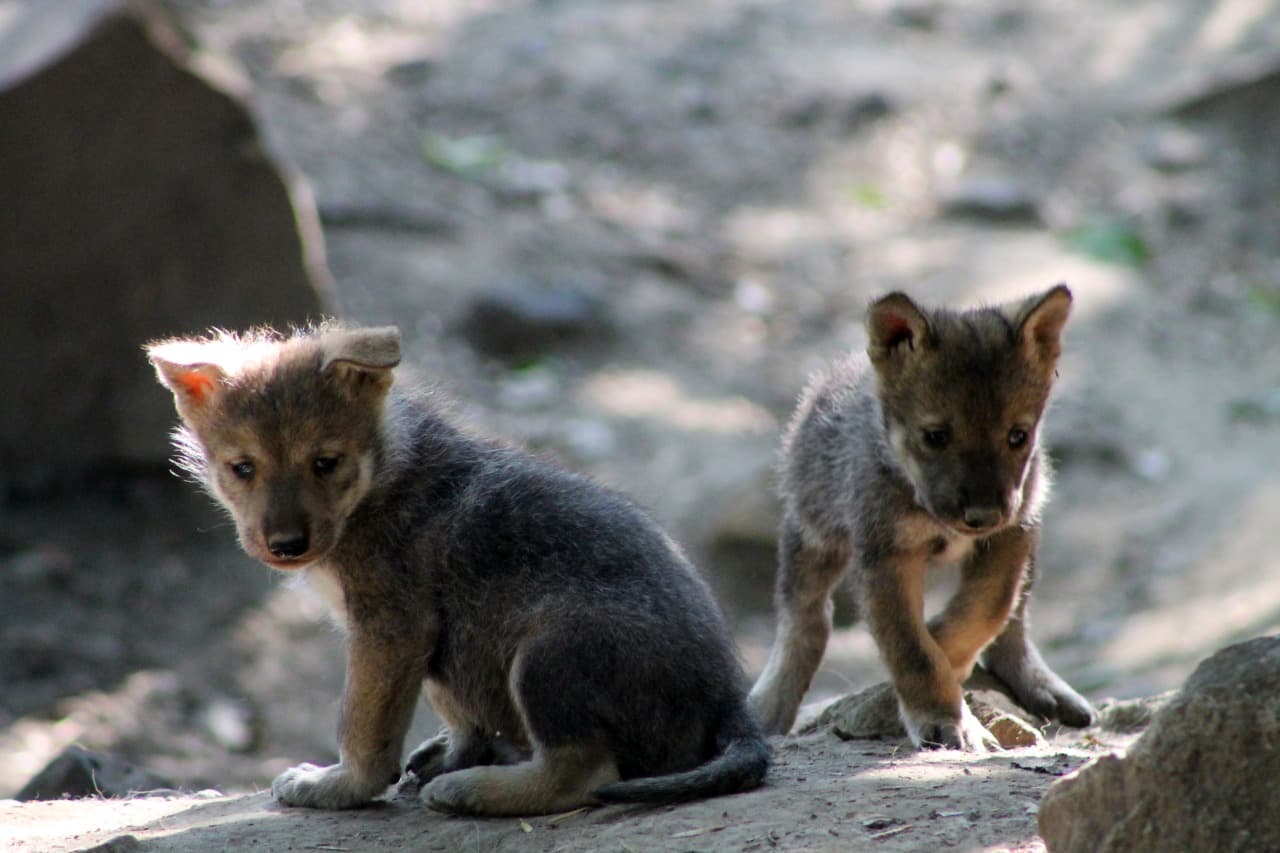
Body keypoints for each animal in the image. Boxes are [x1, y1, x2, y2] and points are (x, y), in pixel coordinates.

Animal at [147, 325, 768, 815]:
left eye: (325, 463)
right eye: (242, 468)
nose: (285, 545)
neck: (379, 480)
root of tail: (730, 700)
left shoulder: (391, 627)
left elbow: (363, 728)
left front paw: (339, 786)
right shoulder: (428, 641)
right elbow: (454, 707)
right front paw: (454, 750)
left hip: (549, 650)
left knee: (584, 773)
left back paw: (474, 791)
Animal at [748, 285, 1095, 750]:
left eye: (1018, 436)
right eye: (935, 436)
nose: (982, 515)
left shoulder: (1010, 535)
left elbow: (986, 610)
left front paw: (946, 649)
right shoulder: (884, 554)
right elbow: (913, 649)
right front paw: (942, 716)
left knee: (1015, 624)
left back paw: (1043, 686)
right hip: (813, 533)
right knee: (805, 621)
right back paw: (768, 706)